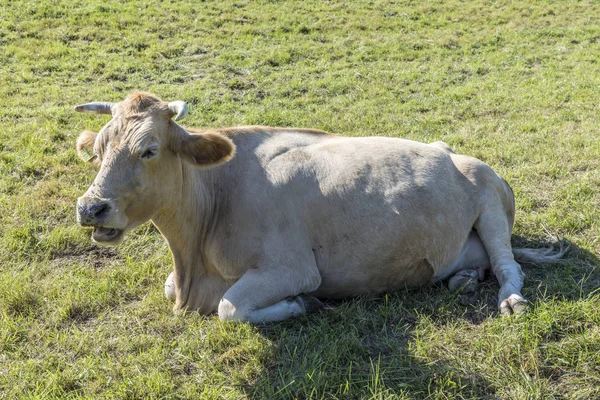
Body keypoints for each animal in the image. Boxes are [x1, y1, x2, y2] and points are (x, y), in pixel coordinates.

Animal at [74, 91, 564, 322]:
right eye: (98, 150)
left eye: (149, 150)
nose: (90, 208)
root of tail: (453, 151)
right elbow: (170, 289)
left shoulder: (292, 268)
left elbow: (230, 308)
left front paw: (299, 306)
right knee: (481, 265)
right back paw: (461, 278)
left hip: (490, 201)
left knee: (508, 266)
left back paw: (512, 301)